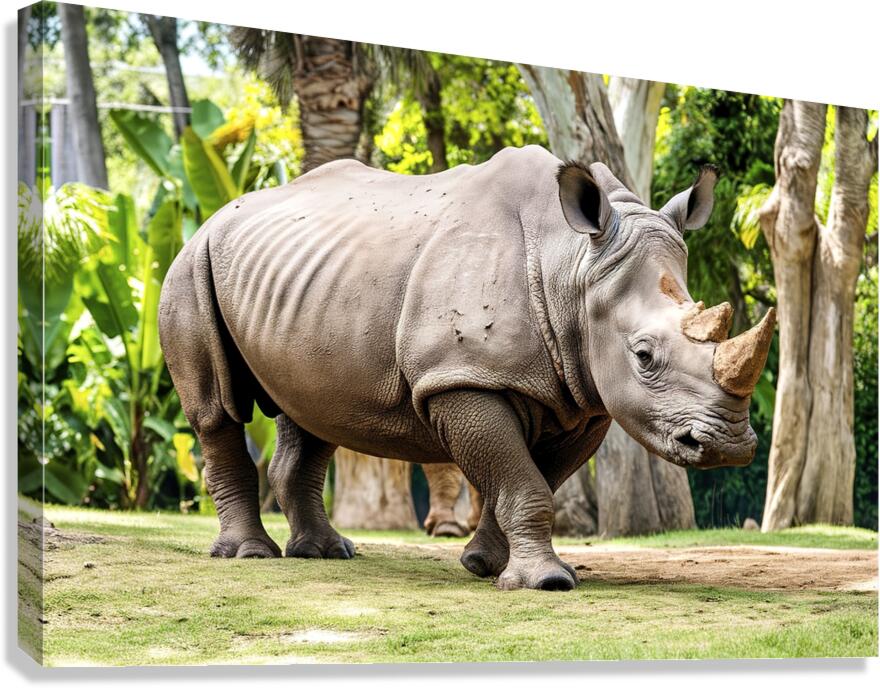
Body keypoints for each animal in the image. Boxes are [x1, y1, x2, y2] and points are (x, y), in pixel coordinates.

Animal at [159, 145, 775, 591]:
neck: (573, 265)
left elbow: (531, 479)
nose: (728, 446)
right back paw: (250, 555)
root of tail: (213, 216)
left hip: (298, 284)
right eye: (644, 356)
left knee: (309, 413)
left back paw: (325, 553)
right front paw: (546, 583)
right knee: (217, 412)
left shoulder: (582, 397)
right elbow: (524, 481)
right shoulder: (460, 376)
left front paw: (484, 566)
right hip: (190, 265)